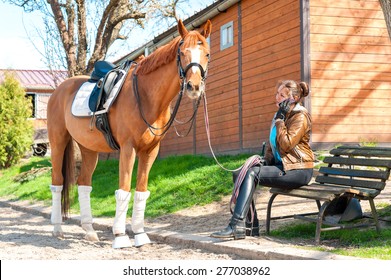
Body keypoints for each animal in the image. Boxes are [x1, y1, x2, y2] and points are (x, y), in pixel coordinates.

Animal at [47, 18, 213, 248]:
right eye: (181, 53)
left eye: (206, 53)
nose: (194, 86)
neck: (146, 95)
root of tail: (59, 90)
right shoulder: (128, 148)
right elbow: (124, 190)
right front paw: (120, 236)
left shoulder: (150, 151)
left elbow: (141, 191)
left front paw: (140, 234)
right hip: (58, 142)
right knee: (57, 183)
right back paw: (57, 229)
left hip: (89, 149)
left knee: (84, 184)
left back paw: (89, 231)